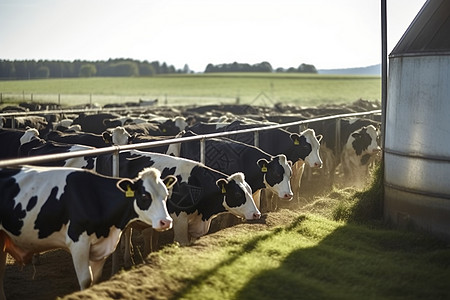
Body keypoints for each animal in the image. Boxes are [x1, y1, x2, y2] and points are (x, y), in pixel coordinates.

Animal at [0, 166, 176, 298]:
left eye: (166, 194)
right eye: (145, 195)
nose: (166, 222)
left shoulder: (101, 248)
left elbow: (96, 279)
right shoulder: (78, 243)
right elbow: (86, 280)